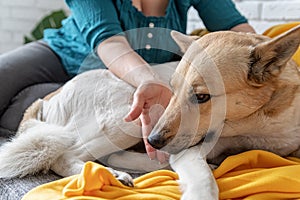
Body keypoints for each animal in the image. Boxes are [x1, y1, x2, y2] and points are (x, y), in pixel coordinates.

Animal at [0, 25, 298, 199]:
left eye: (202, 97)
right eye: (173, 88)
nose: (154, 140)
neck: (255, 122)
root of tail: (49, 96)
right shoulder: (189, 148)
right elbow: (204, 181)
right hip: (129, 112)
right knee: (65, 156)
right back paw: (115, 174)